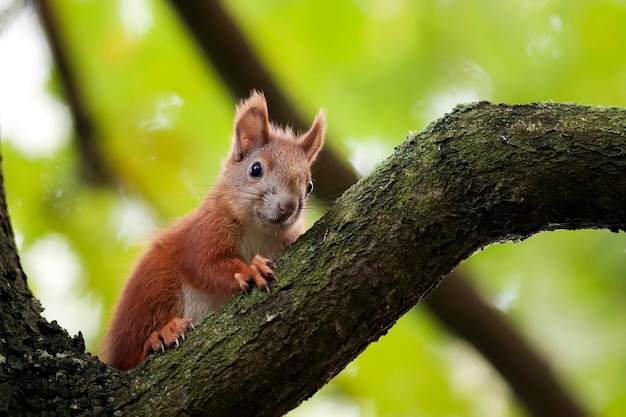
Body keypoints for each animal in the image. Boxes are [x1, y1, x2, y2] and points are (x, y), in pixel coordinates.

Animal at [103, 89, 324, 368]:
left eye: (310, 186)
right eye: (256, 169)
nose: (288, 206)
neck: (259, 230)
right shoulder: (205, 230)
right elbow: (204, 263)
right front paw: (250, 270)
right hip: (154, 288)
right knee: (132, 352)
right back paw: (160, 336)